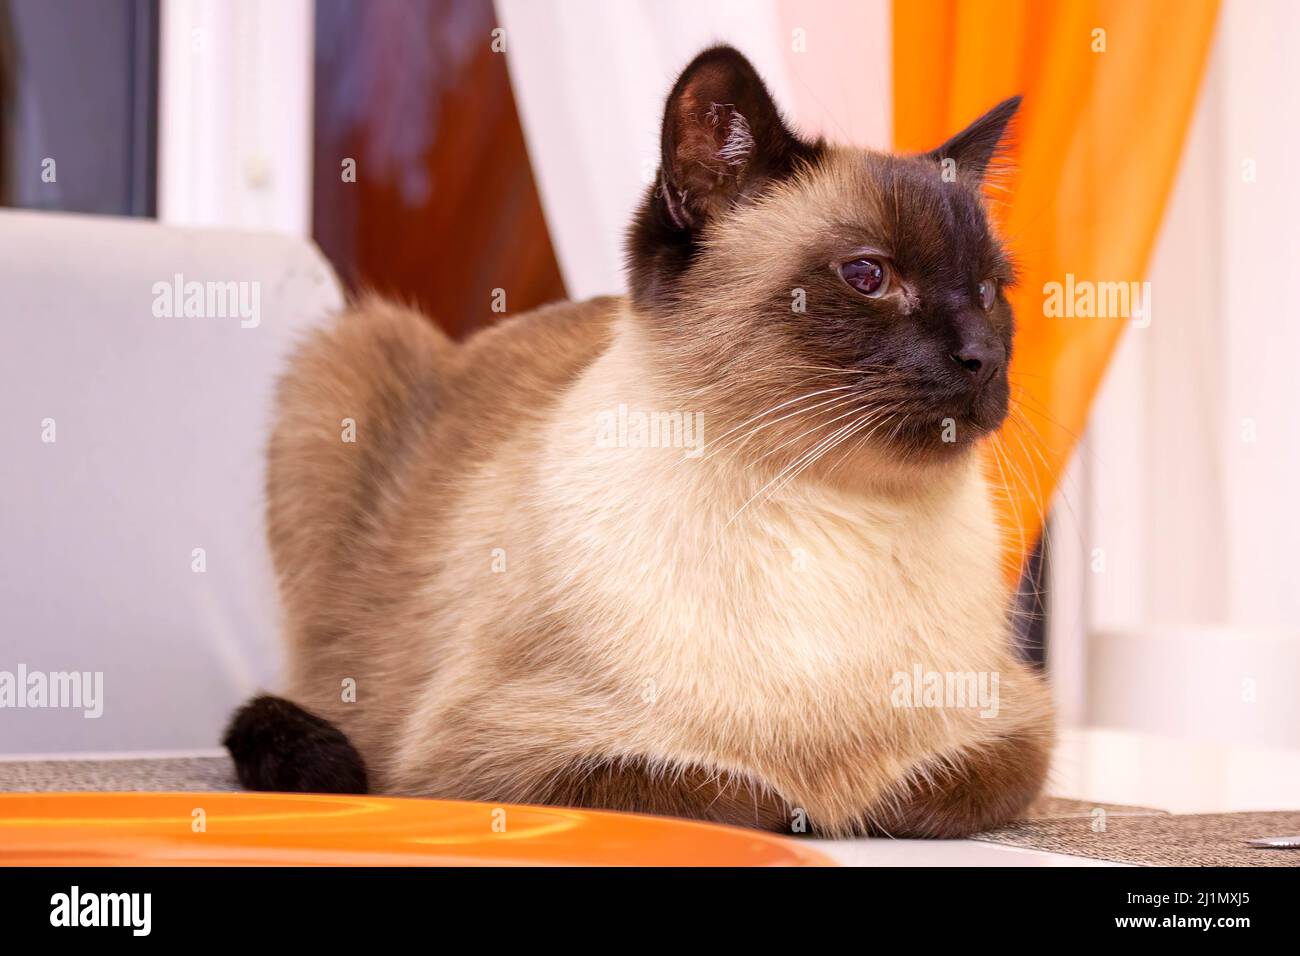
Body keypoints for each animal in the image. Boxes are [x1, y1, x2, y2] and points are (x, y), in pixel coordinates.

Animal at [226, 46, 1055, 837]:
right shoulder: (483, 757)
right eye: (868, 276)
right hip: (343, 362)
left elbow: (910, 791)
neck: (828, 510)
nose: (983, 358)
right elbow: (734, 794)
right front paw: (799, 804)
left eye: (990, 293)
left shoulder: (1011, 722)